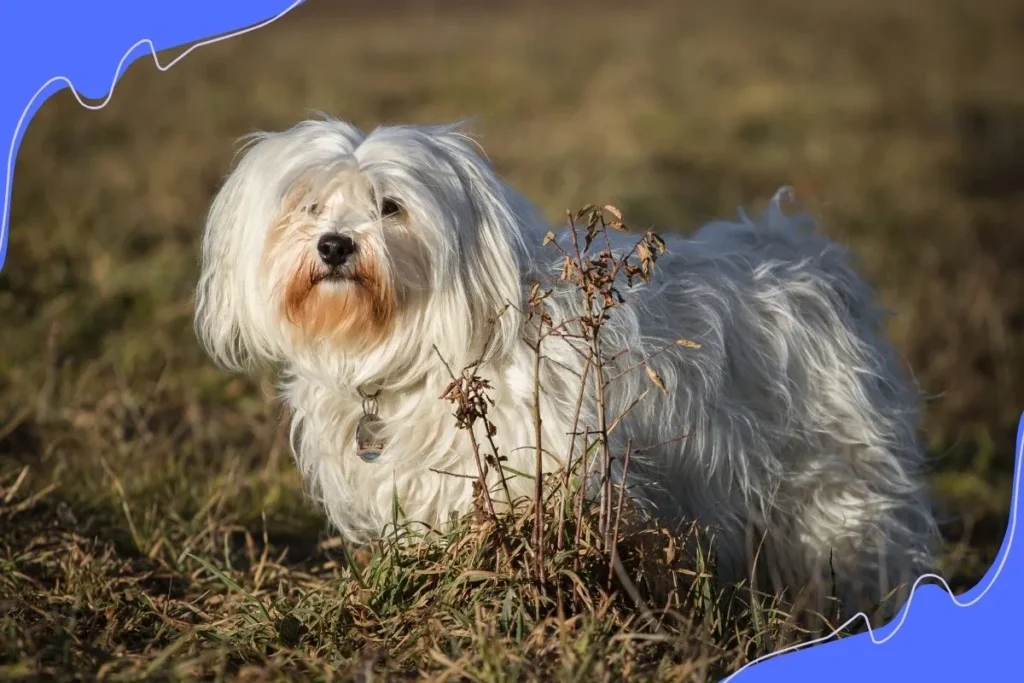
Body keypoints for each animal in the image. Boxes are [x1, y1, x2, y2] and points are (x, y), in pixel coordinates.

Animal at [192, 114, 937, 618]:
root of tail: (803, 256)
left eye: (391, 206)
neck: (417, 347)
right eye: (308, 204)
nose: (334, 244)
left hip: (833, 486)